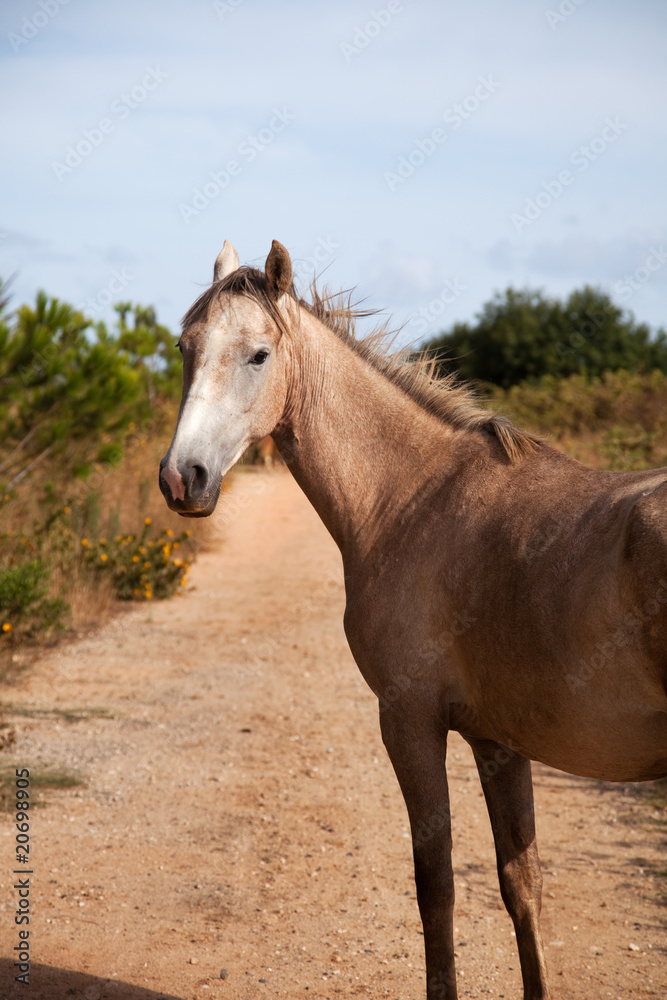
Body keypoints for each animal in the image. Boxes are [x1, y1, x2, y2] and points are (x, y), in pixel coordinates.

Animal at [159, 239, 667, 1000]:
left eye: (258, 355)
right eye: (186, 347)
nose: (180, 478)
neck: (413, 497)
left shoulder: (409, 722)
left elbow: (437, 888)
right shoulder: (498, 741)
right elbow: (522, 888)